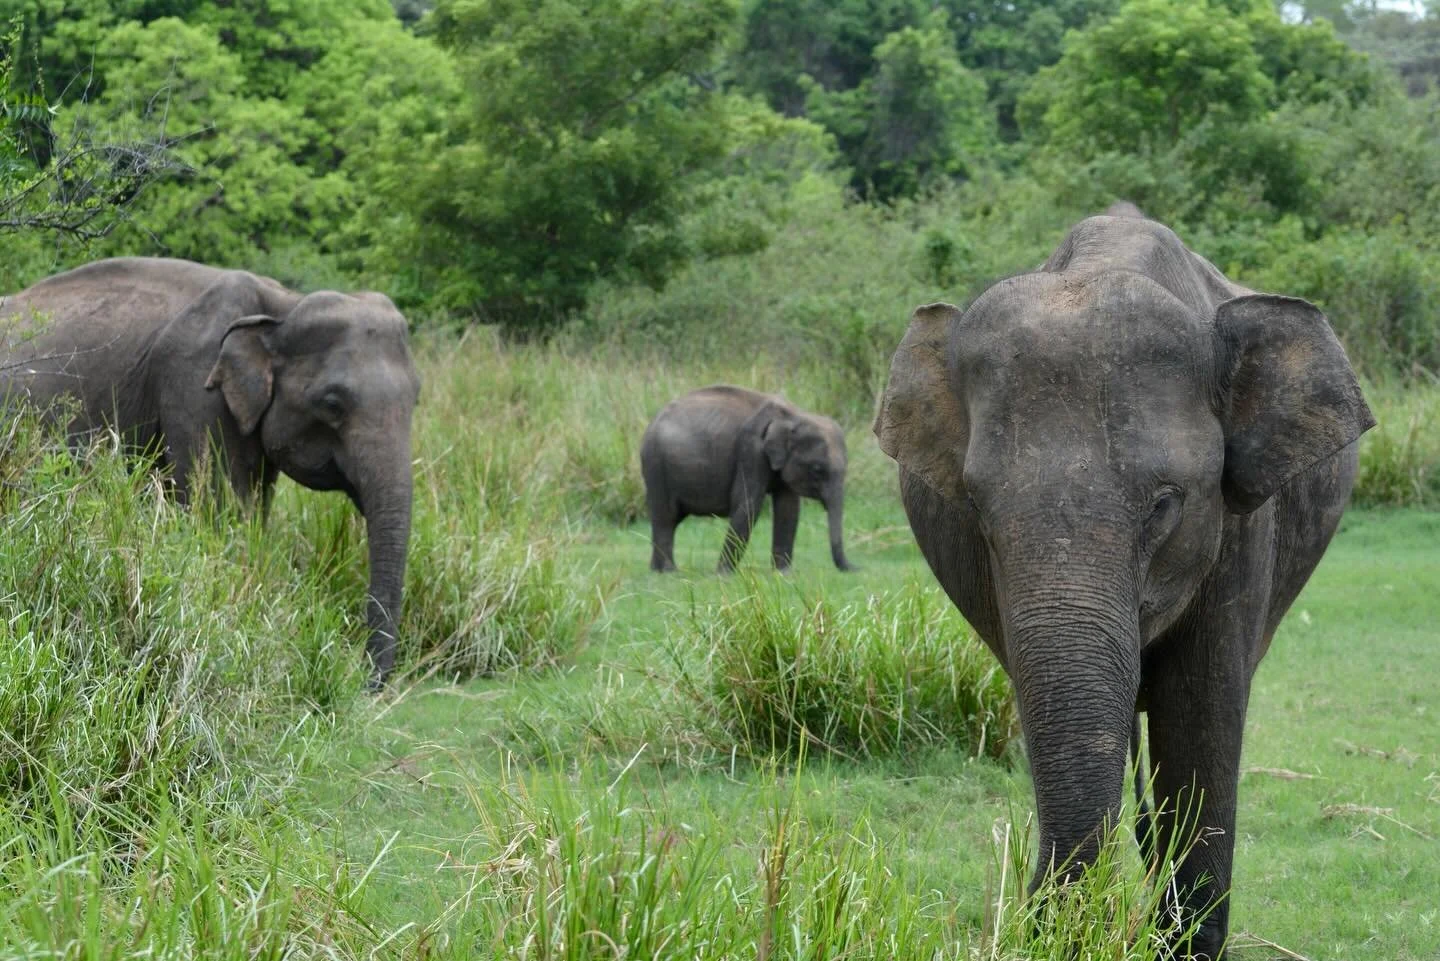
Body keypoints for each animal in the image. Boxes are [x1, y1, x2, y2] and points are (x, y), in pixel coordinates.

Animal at [0, 257, 421, 682]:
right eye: (333, 404)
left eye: (416, 399)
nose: (368, 681)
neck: (283, 306)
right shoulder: (193, 387)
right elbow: (216, 511)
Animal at [640, 385, 852, 573]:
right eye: (817, 470)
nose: (854, 568)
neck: (793, 416)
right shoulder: (751, 450)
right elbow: (749, 505)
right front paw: (724, 574)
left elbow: (788, 508)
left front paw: (783, 573)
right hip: (656, 465)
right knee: (665, 517)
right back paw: (668, 572)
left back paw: (657, 569)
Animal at [873, 212, 1372, 959]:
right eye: (976, 508)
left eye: (1163, 505)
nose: (1039, 920)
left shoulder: (1238, 530)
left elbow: (1199, 712)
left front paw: (1183, 944)